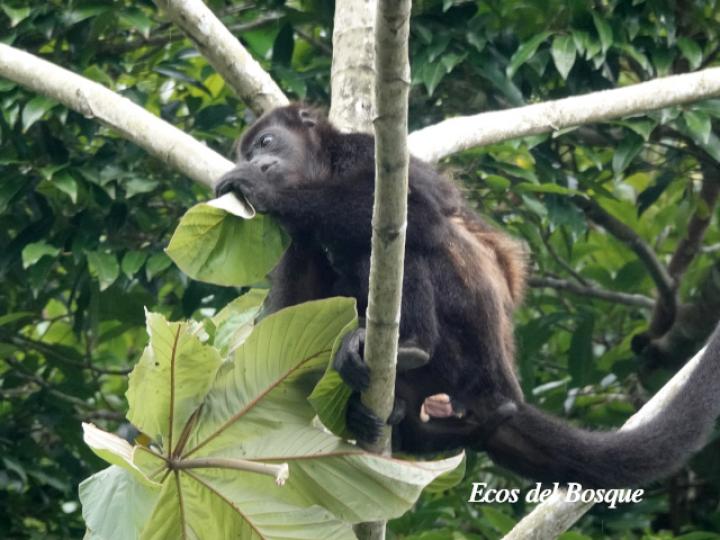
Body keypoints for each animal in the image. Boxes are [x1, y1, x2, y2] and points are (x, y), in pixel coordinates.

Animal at [215, 104, 720, 489]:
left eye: (267, 143)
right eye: (251, 149)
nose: (258, 164)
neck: (327, 166)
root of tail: (501, 390)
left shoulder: (368, 151)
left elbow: (423, 210)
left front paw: (265, 189)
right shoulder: (289, 241)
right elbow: (290, 318)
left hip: (471, 337)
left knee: (410, 240)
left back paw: (409, 345)